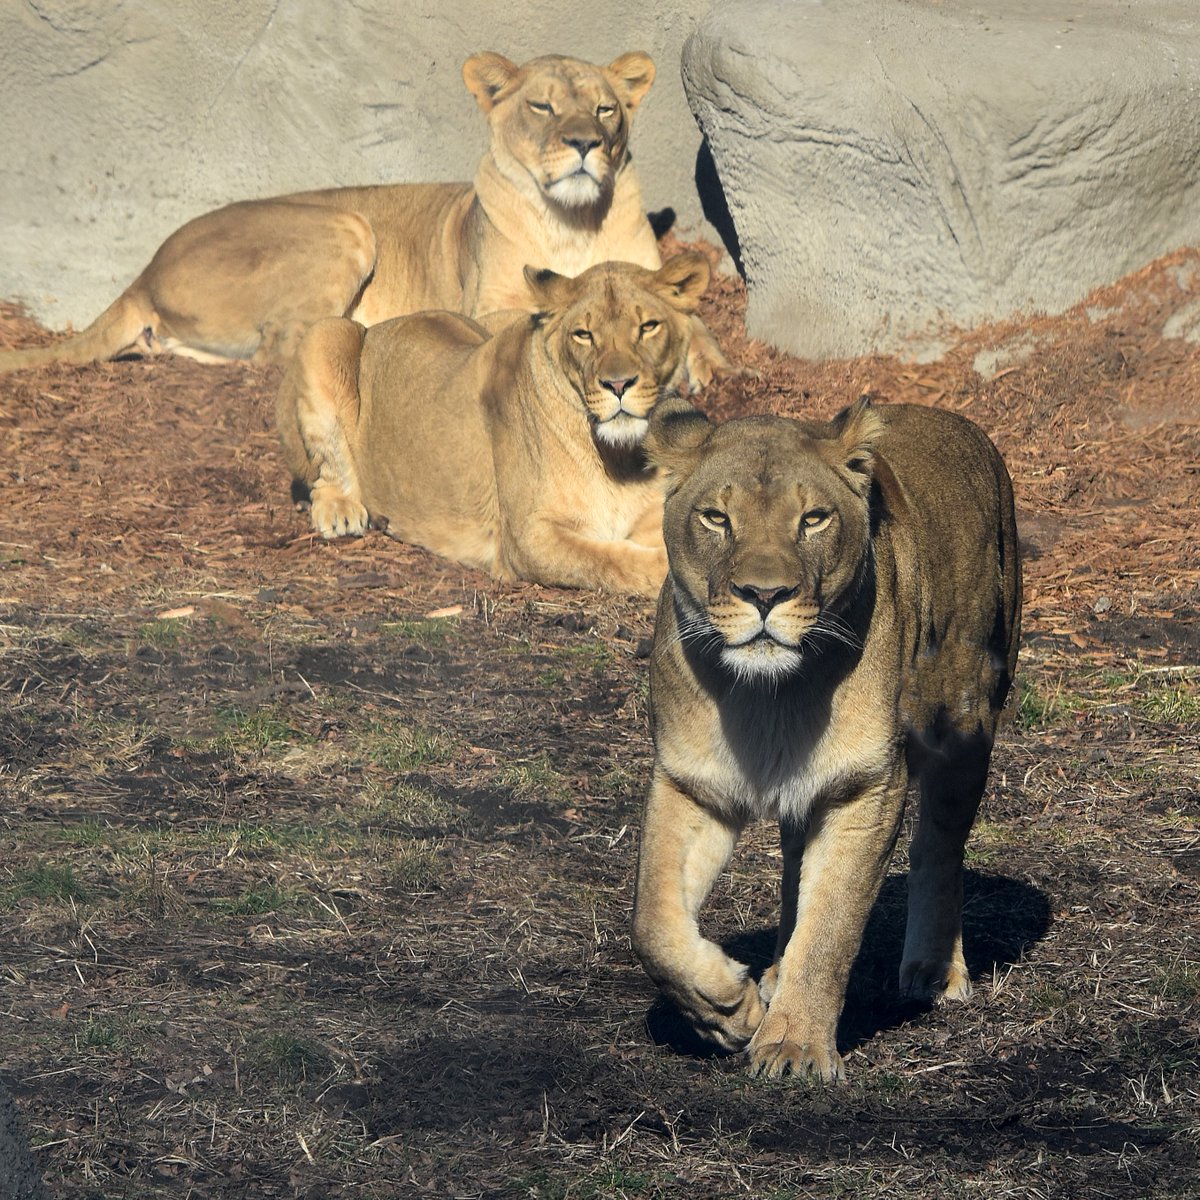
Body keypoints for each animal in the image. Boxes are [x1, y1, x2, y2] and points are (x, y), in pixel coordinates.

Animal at [0, 51, 732, 380]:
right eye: (543, 107)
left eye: (605, 109)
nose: (585, 142)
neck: (573, 221)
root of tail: (145, 269)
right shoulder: (485, 301)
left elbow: (692, 322)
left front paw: (714, 366)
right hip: (344, 226)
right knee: (280, 350)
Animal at [275, 253, 710, 596]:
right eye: (584, 335)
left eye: (648, 327)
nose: (618, 384)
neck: (619, 457)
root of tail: (388, 322)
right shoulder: (528, 537)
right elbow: (609, 560)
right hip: (327, 334)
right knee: (325, 476)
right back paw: (343, 512)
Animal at [630, 396, 1022, 1080]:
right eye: (716, 518)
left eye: (812, 519)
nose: (765, 595)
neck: (771, 700)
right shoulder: (691, 782)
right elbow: (653, 922)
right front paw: (727, 1009)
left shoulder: (865, 789)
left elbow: (832, 925)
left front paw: (793, 1048)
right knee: (794, 869)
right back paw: (772, 973)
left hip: (970, 719)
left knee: (939, 846)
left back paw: (934, 969)